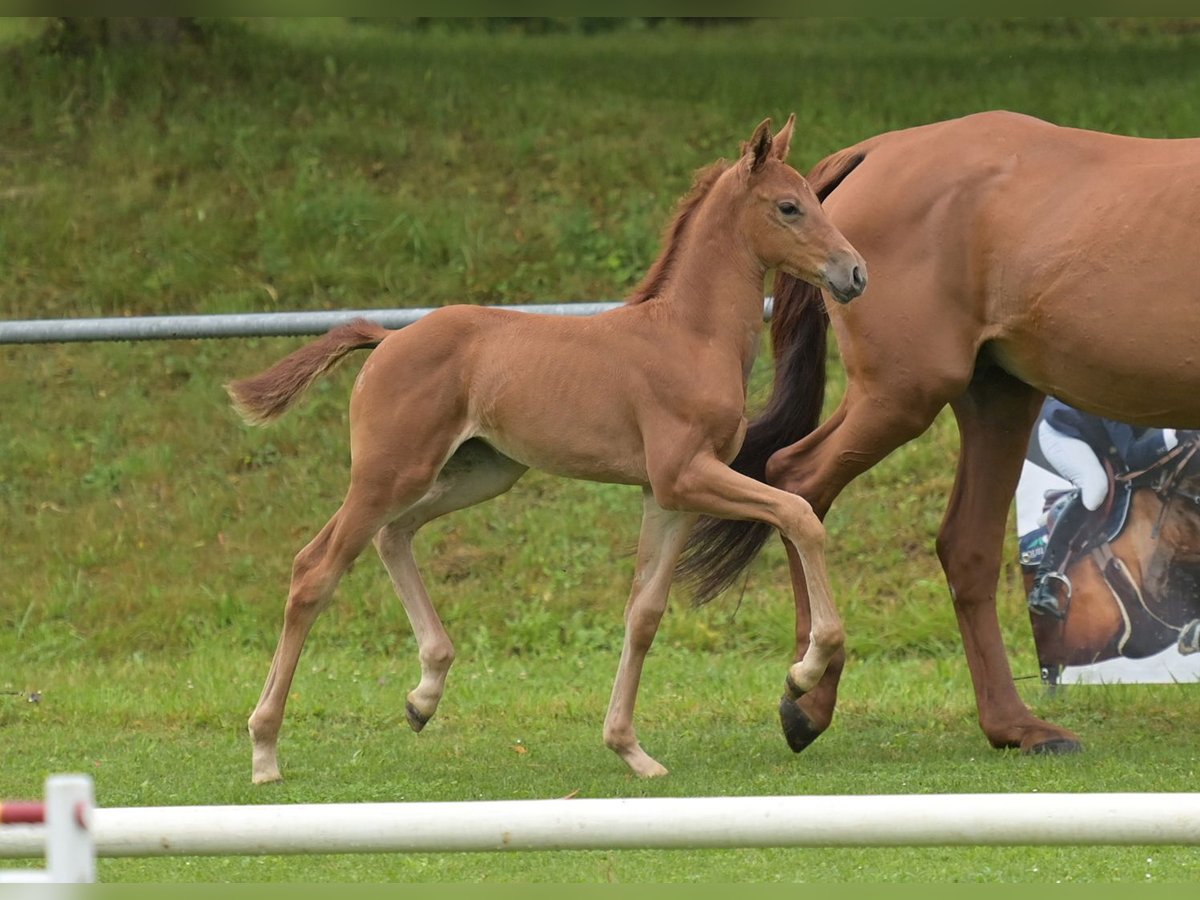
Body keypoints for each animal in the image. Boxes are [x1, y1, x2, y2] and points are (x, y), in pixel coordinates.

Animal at [226, 118, 864, 782]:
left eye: (817, 200)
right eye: (789, 206)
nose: (854, 273)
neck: (688, 336)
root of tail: (389, 338)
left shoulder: (668, 495)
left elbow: (644, 613)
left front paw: (630, 748)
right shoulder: (684, 475)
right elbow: (798, 514)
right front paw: (804, 671)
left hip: (480, 473)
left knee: (392, 536)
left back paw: (423, 695)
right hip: (388, 473)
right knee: (315, 569)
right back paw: (265, 750)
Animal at [681, 109, 1200, 763]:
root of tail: (880, 149)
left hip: (997, 398)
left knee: (966, 546)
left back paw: (1015, 726)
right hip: (903, 395)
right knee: (797, 480)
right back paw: (810, 693)